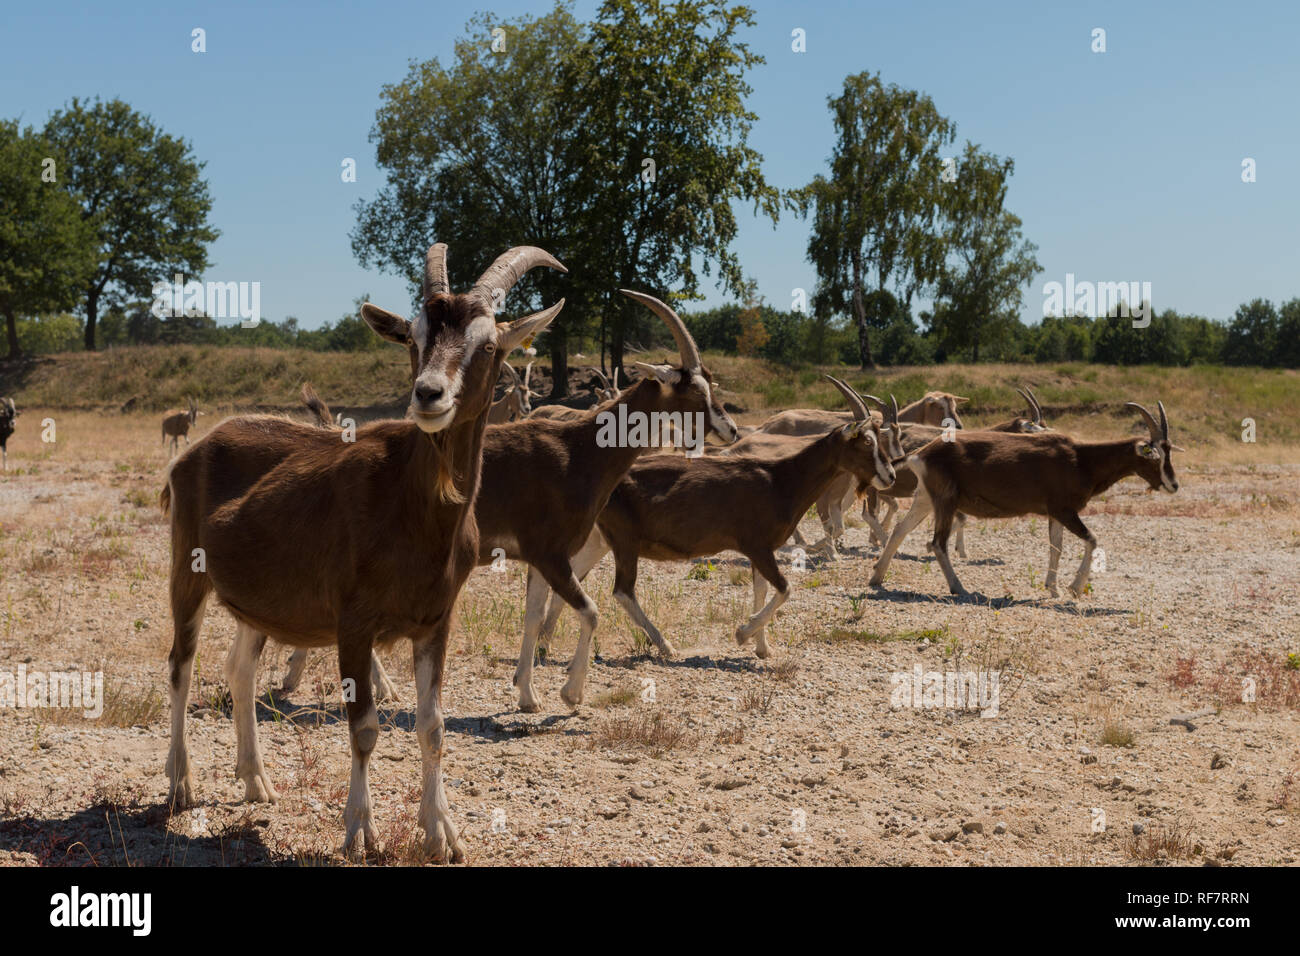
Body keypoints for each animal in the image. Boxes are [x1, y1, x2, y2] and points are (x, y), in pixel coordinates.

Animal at [283, 287, 738, 712]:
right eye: (697, 393)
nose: (731, 430)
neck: (579, 449)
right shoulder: (551, 553)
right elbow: (591, 611)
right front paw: (571, 693)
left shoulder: (539, 558)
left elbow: (533, 618)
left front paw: (527, 694)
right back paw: (370, 684)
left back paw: (300, 675)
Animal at [535, 421, 894, 665]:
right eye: (865, 443)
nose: (889, 475)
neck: (780, 480)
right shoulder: (757, 545)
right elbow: (785, 589)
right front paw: (742, 634)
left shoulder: (761, 552)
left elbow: (762, 590)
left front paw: (763, 648)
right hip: (625, 540)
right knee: (623, 590)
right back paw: (665, 646)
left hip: (599, 540)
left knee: (571, 578)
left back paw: (543, 646)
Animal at [868, 403, 1185, 598]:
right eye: (1155, 454)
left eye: (1170, 451)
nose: (1173, 485)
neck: (1082, 458)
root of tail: (922, 452)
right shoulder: (1065, 510)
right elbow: (1092, 540)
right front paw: (1073, 588)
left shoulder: (1055, 514)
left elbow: (1056, 547)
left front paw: (1052, 588)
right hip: (945, 502)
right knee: (937, 543)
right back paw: (960, 589)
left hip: (925, 499)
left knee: (900, 531)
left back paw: (876, 579)